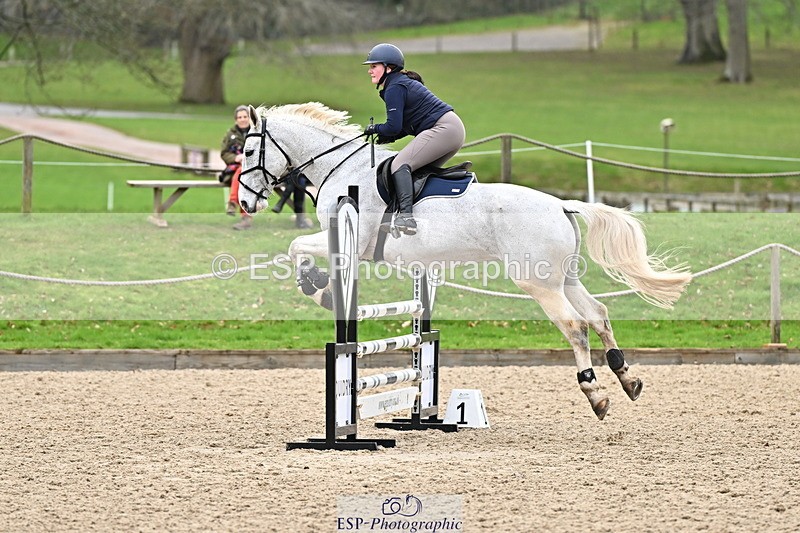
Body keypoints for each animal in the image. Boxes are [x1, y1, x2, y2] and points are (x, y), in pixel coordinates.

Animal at [237, 102, 692, 420]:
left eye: (247, 148)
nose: (244, 202)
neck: (341, 167)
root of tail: (562, 204)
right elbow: (300, 250)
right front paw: (320, 287)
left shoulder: (351, 241)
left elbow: (296, 247)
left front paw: (316, 287)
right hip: (563, 278)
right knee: (598, 315)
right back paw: (628, 379)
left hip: (537, 283)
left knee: (575, 327)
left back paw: (596, 394)